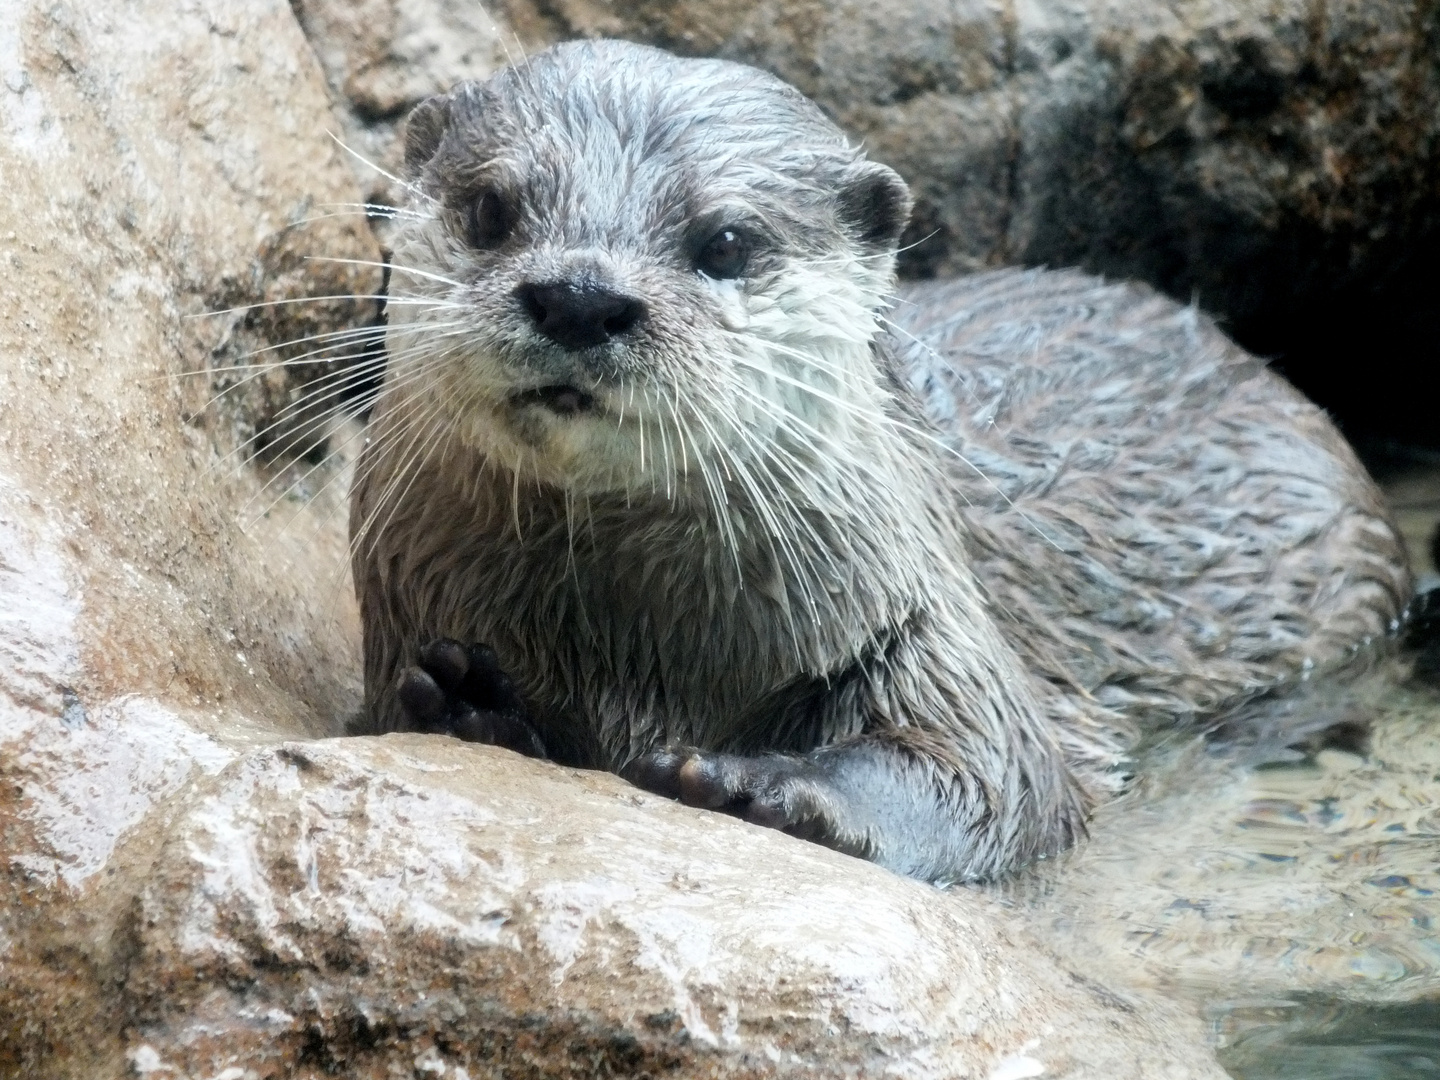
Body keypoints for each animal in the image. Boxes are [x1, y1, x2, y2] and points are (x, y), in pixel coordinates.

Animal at [345, 40, 1405, 887]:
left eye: (725, 240)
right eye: (491, 208)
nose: (579, 296)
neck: (631, 649)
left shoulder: (936, 622)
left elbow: (1001, 777)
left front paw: (754, 778)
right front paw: (472, 703)